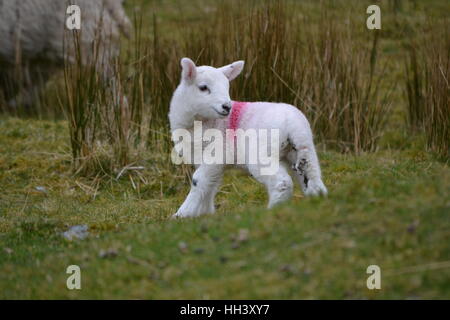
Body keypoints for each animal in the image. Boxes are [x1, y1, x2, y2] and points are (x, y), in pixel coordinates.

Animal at [169, 57, 326, 218]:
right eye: (203, 87)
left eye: (227, 87)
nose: (227, 107)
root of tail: (293, 125)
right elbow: (210, 185)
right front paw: (203, 212)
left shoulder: (217, 154)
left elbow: (198, 181)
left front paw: (182, 215)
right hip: (302, 150)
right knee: (313, 180)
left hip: (262, 153)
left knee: (282, 183)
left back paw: (272, 210)